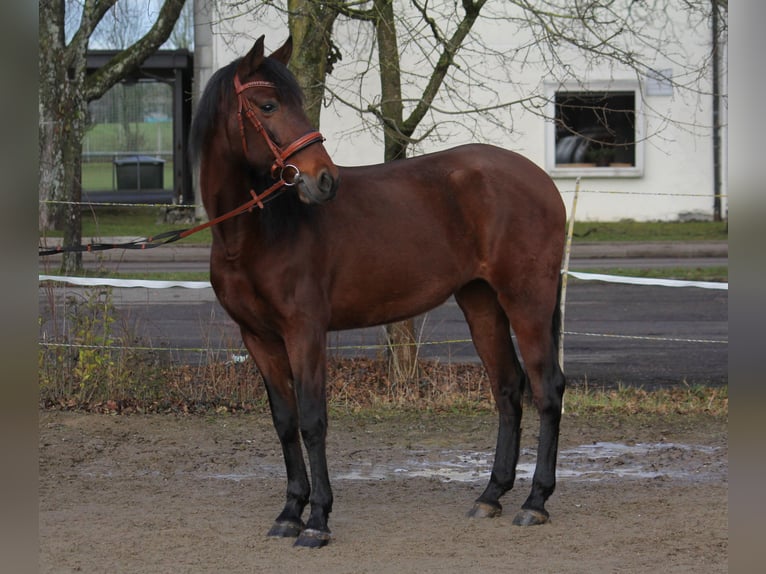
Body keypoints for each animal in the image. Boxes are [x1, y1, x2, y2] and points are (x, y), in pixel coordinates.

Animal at [190, 35, 568, 548]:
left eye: (296, 103)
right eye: (268, 105)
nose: (324, 179)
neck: (254, 235)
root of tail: (542, 181)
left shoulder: (305, 332)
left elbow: (313, 420)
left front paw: (317, 521)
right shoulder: (259, 338)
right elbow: (285, 422)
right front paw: (289, 513)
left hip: (527, 301)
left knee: (548, 389)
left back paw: (535, 502)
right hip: (481, 302)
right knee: (508, 389)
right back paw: (491, 495)